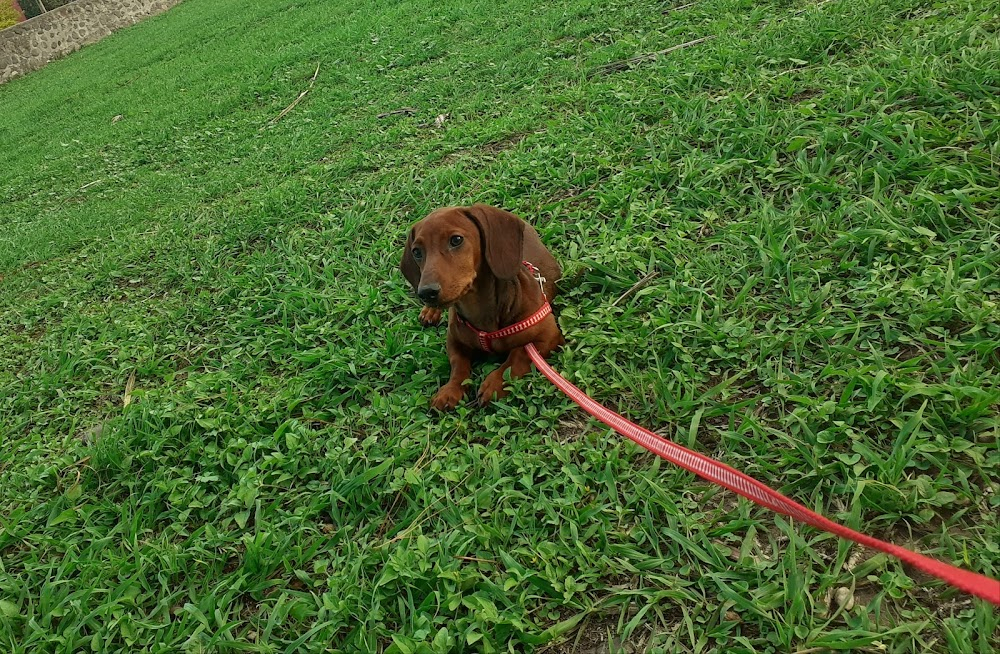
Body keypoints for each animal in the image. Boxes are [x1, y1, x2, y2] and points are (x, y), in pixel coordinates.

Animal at [402, 205, 568, 410]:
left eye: (456, 240)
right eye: (417, 251)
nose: (426, 292)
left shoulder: (548, 336)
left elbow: (518, 356)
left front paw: (495, 384)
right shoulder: (454, 339)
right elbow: (458, 364)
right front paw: (450, 390)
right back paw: (430, 311)